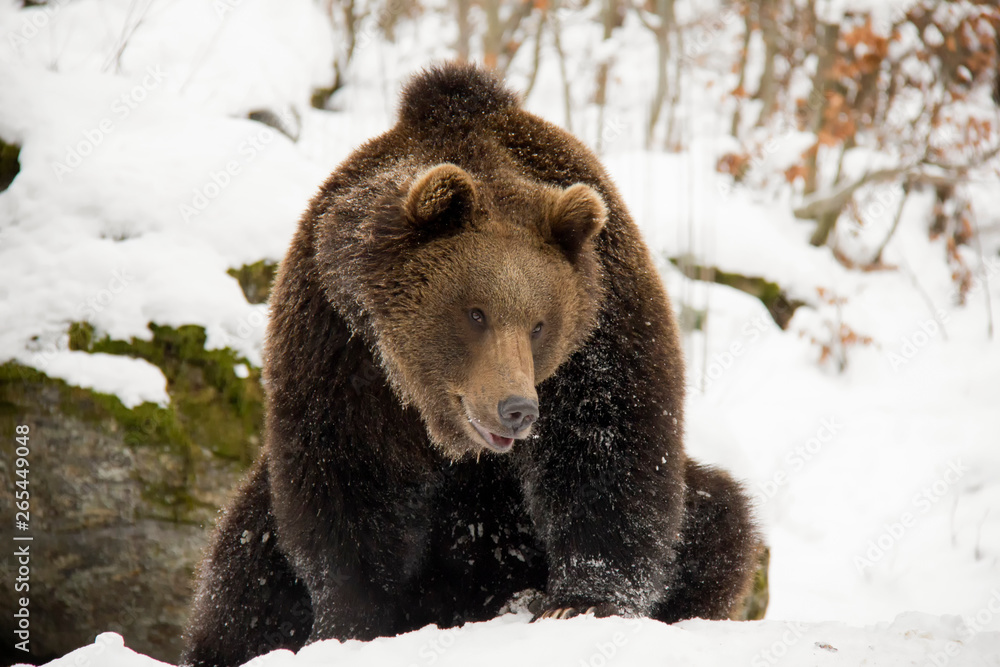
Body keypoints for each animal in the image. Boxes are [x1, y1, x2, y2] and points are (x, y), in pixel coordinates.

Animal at [182, 62, 760, 667]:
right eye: (476, 313)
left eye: (539, 324)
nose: (517, 409)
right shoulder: (340, 340)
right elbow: (345, 478)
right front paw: (347, 625)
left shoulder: (602, 327)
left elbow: (610, 451)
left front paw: (577, 603)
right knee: (242, 562)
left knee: (721, 514)